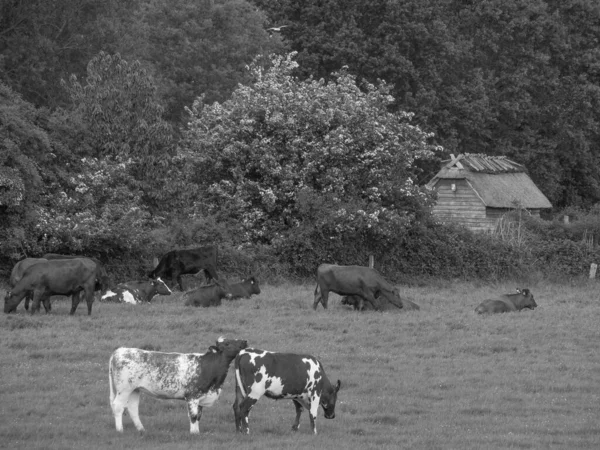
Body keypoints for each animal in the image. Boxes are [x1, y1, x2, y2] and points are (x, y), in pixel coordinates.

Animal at [109, 336, 247, 434]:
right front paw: (193, 433)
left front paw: (197, 432)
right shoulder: (192, 396)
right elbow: (193, 415)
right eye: (227, 343)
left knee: (132, 408)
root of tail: (120, 350)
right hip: (124, 389)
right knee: (118, 406)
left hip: (135, 389)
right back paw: (120, 430)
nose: (244, 341)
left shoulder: (201, 397)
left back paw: (141, 429)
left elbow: (198, 416)